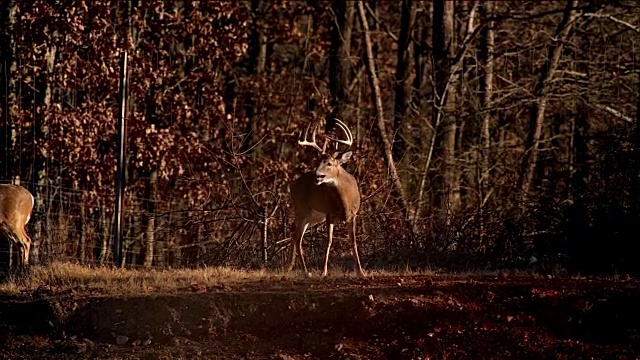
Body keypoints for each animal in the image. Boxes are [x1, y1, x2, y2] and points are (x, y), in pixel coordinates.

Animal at [288, 119, 364, 278]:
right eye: (317, 162)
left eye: (329, 163)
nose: (316, 175)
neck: (345, 202)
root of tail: (292, 184)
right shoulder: (330, 214)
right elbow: (329, 241)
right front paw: (324, 272)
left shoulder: (353, 215)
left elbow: (353, 241)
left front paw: (361, 272)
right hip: (302, 209)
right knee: (298, 237)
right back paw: (306, 272)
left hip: (315, 216)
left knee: (294, 234)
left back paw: (289, 267)